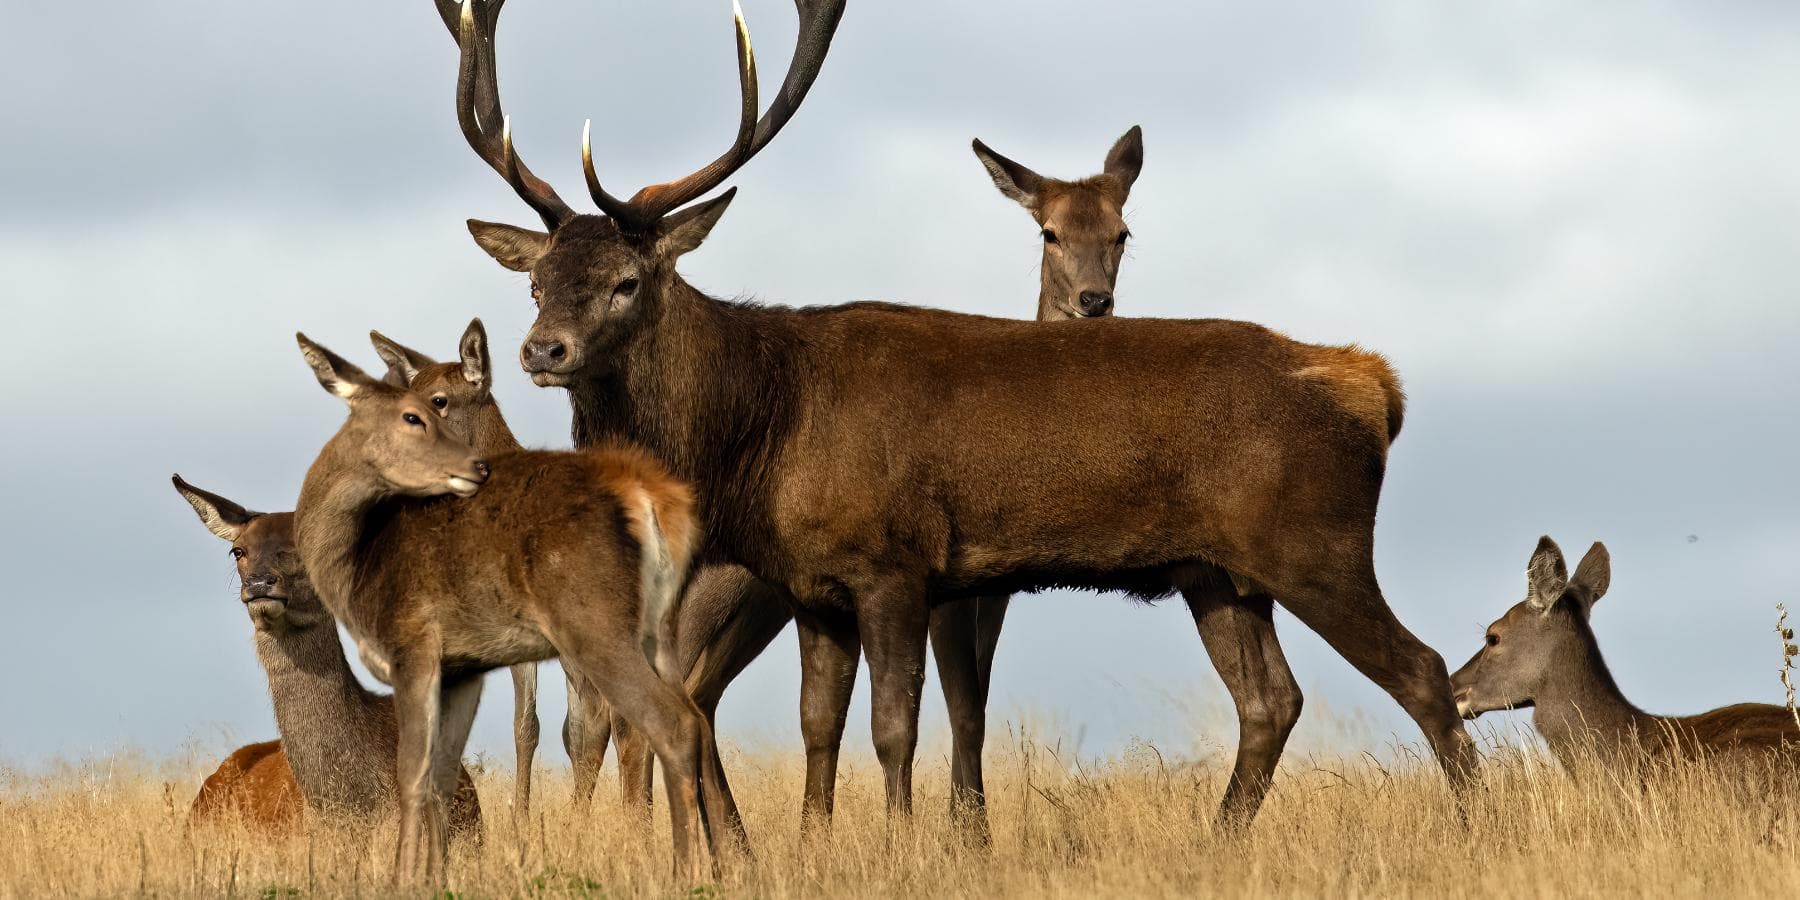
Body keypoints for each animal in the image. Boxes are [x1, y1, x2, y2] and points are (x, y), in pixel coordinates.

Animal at [289, 334, 734, 883]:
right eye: (412, 410)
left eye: (435, 403)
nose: (474, 468)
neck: (354, 563)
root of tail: (651, 496)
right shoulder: (465, 668)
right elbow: (449, 772)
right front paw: (440, 876)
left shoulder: (414, 646)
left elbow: (416, 772)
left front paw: (403, 878)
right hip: (660, 630)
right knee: (696, 718)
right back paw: (721, 865)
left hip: (592, 625)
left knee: (663, 724)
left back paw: (678, 867)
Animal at [442, 0, 1477, 834]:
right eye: (536, 280)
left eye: (627, 280)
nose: (542, 351)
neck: (761, 430)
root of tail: (1375, 386)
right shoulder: (816, 585)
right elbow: (821, 726)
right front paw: (816, 847)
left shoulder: (897, 559)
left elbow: (895, 728)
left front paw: (904, 847)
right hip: (1219, 574)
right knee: (1272, 701)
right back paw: (1218, 844)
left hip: (1315, 542)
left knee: (1425, 672)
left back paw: (1474, 830)